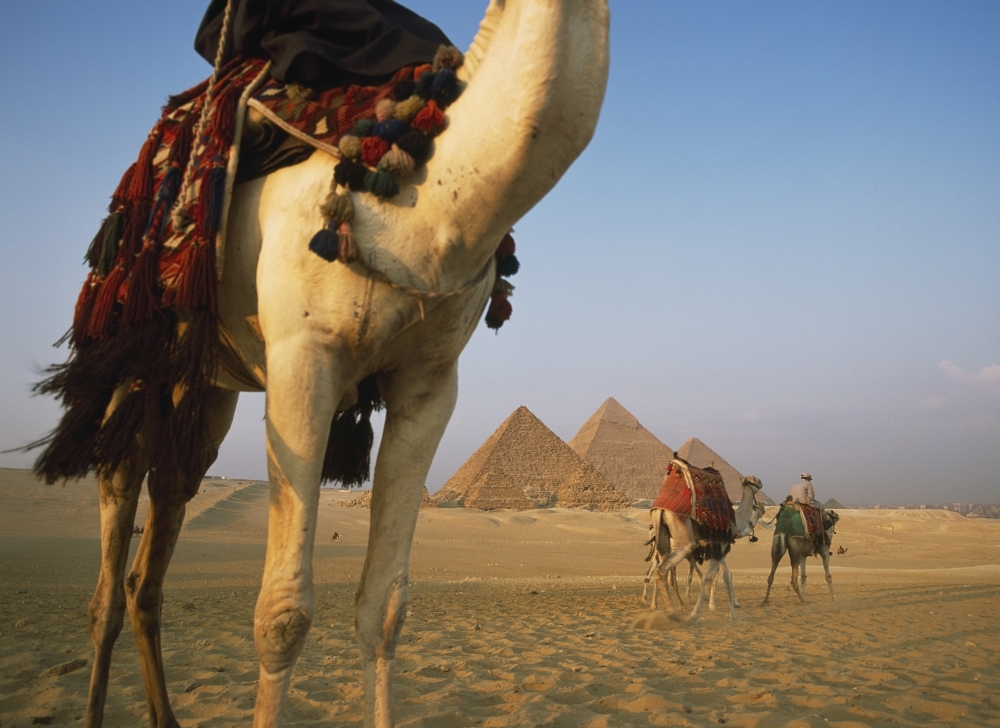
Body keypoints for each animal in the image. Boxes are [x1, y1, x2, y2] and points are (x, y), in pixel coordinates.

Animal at [49, 2, 610, 726]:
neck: (431, 202)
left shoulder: (431, 383)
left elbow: (386, 609)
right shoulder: (302, 360)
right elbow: (282, 616)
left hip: (204, 391)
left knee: (159, 534)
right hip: (134, 357)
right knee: (112, 538)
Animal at [648, 475, 764, 621]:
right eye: (756, 480)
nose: (762, 483)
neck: (736, 522)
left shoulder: (719, 551)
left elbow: (724, 576)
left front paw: (732, 613)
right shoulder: (721, 546)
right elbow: (714, 577)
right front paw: (699, 613)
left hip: (663, 543)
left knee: (660, 573)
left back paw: (662, 607)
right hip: (683, 542)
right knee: (662, 572)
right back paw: (672, 611)